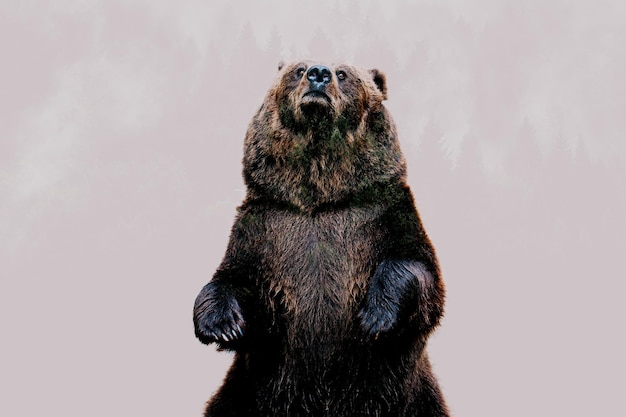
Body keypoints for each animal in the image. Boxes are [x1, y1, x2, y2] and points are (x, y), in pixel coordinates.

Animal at [191, 59, 448, 416]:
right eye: (297, 70)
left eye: (343, 73)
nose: (318, 73)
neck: (319, 198)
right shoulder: (264, 228)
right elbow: (238, 281)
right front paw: (222, 324)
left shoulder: (384, 215)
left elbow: (417, 270)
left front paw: (375, 316)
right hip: (241, 395)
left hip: (415, 400)